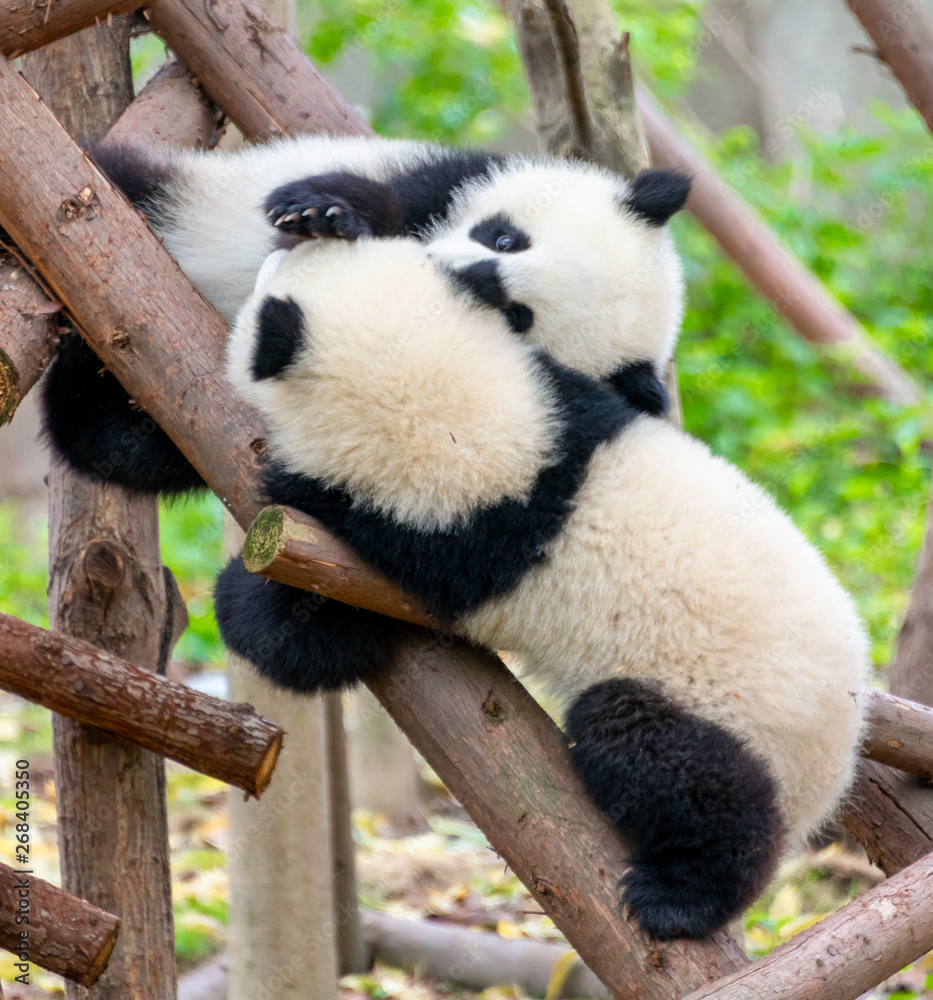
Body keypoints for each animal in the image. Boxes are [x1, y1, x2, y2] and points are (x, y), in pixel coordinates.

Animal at [41, 135, 689, 495]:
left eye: (517, 314)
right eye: (506, 239)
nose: (438, 269)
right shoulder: (441, 178)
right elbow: (369, 202)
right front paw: (325, 211)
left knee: (108, 444)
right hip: (179, 198)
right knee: (118, 172)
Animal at [218, 235, 869, 942]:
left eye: (272, 275)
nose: (272, 246)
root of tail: (836, 764)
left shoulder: (434, 537)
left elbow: (325, 624)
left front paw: (242, 599)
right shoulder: (567, 405)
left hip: (731, 709)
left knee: (671, 762)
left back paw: (682, 896)